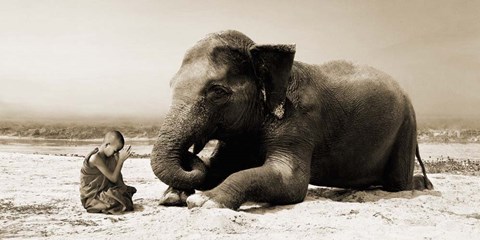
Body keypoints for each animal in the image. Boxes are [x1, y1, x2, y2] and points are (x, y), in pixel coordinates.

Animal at [151, 30, 436, 210]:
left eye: (217, 91)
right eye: (171, 84)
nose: (190, 153)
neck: (262, 51)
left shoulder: (298, 119)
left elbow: (291, 182)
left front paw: (205, 202)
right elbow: (219, 167)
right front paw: (172, 197)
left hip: (407, 126)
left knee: (397, 183)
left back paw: (422, 185)